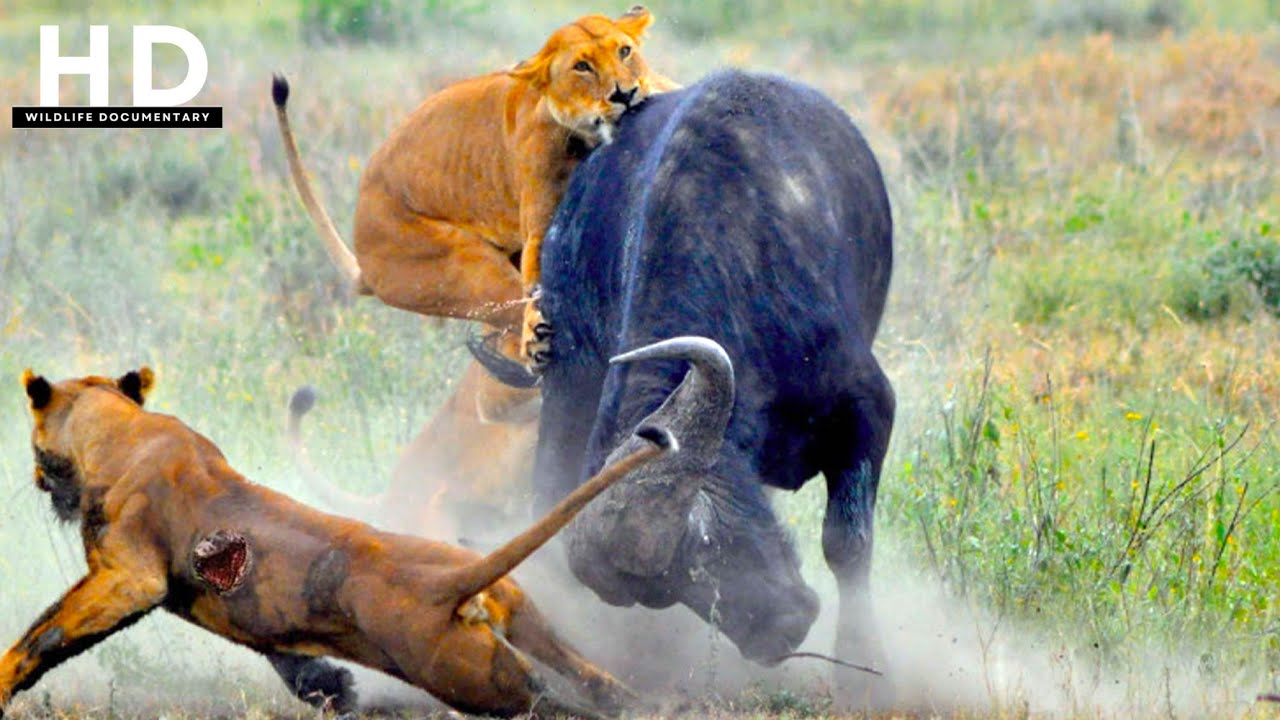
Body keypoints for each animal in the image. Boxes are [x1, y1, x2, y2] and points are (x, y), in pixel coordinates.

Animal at [0, 367, 676, 718]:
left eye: (37, 446)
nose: (35, 478)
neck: (121, 432)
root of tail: (453, 580)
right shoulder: (229, 607)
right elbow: (281, 650)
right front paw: (331, 690)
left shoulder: (129, 576)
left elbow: (45, 633)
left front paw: (5, 684)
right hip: (530, 626)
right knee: (598, 682)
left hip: (483, 684)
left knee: (562, 706)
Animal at [274, 6, 674, 375]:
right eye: (582, 67)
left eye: (624, 51)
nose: (625, 94)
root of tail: (362, 256)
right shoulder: (540, 228)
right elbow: (537, 282)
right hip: (461, 266)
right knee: (512, 311)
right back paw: (534, 344)